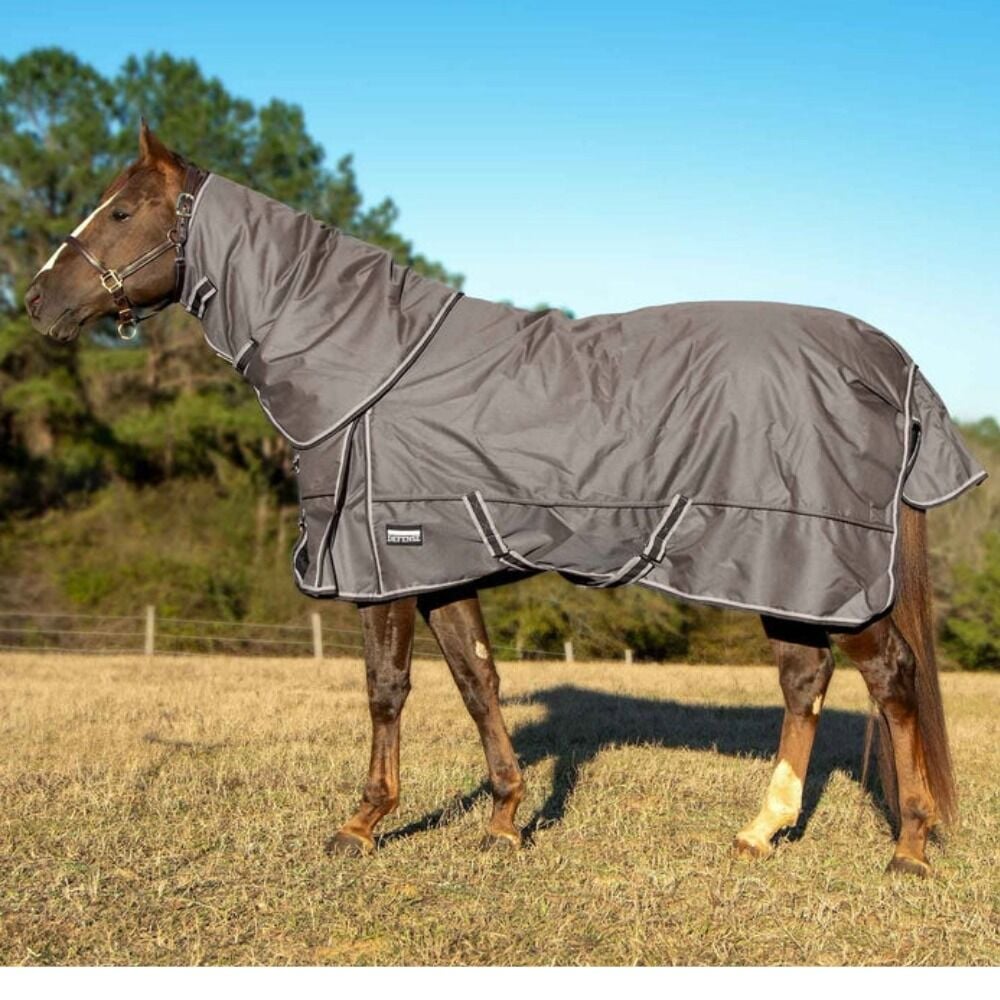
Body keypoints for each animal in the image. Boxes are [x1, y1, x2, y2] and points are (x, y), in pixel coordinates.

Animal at [25, 122, 985, 877]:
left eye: (120, 211)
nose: (37, 301)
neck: (372, 364)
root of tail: (891, 361)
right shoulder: (444, 566)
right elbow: (477, 682)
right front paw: (502, 820)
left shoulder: (383, 560)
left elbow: (386, 688)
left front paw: (361, 823)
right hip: (788, 574)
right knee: (804, 681)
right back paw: (760, 830)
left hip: (825, 566)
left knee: (891, 679)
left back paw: (907, 846)